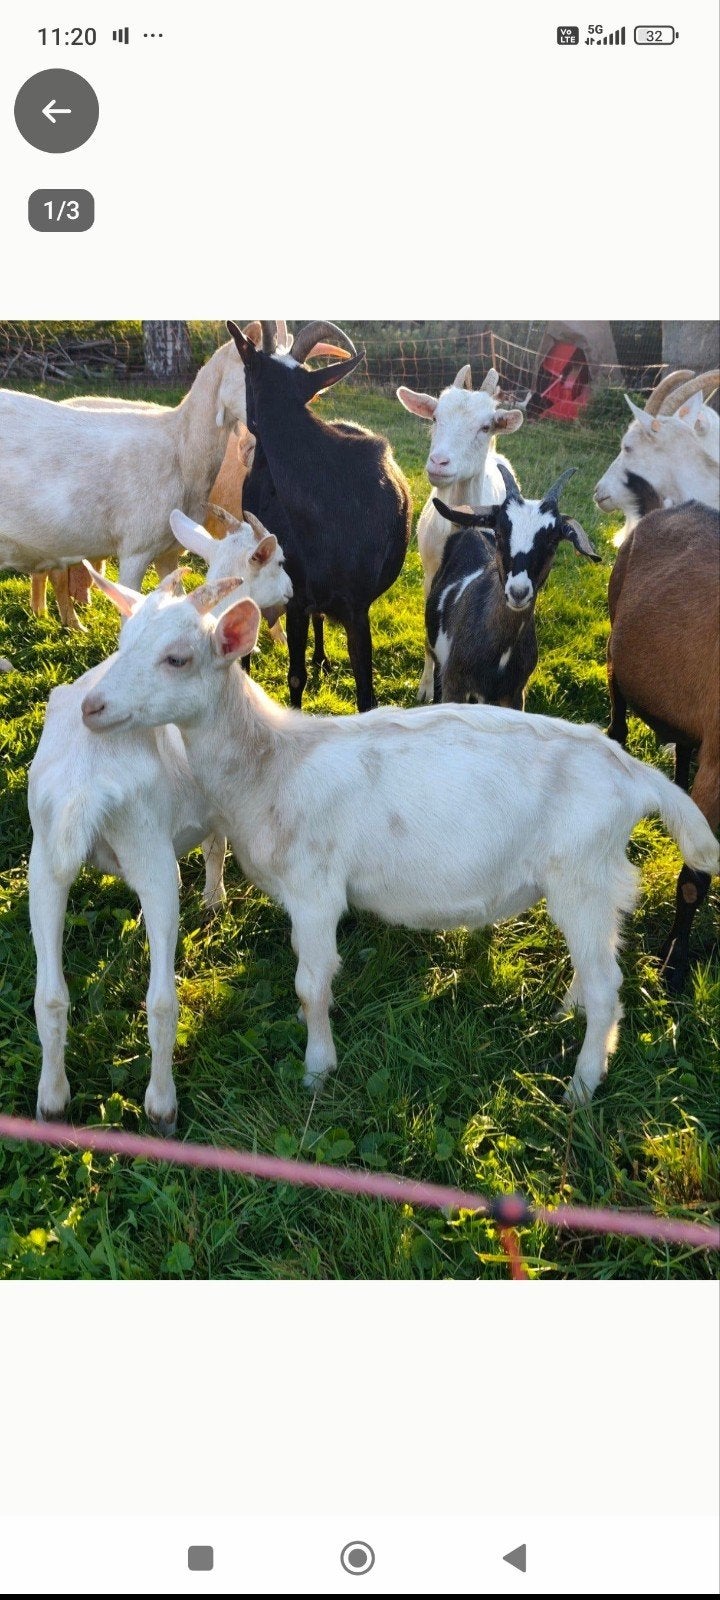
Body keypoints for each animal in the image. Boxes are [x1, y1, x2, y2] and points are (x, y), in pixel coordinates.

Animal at [28, 515, 292, 1134]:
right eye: (275, 561)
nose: (292, 594)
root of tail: (85, 780)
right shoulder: (217, 801)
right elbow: (217, 847)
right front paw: (217, 901)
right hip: (151, 856)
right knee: (162, 1001)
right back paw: (161, 1105)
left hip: (42, 859)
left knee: (49, 994)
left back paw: (52, 1100)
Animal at [78, 579, 718, 1108]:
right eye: (124, 640)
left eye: (177, 658)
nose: (91, 707)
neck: (273, 763)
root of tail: (634, 776)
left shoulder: (315, 889)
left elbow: (311, 983)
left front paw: (317, 1070)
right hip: (594, 881)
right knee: (599, 960)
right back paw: (569, 1010)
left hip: (581, 873)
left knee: (610, 987)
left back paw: (582, 1088)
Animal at [236, 320, 412, 711]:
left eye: (245, 375)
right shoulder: (296, 596)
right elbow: (295, 677)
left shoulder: (357, 607)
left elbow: (366, 695)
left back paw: (320, 658)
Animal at [428, 467, 600, 708]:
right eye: (499, 533)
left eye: (552, 540)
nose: (519, 592)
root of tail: (469, 530)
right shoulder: (454, 684)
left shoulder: (515, 693)